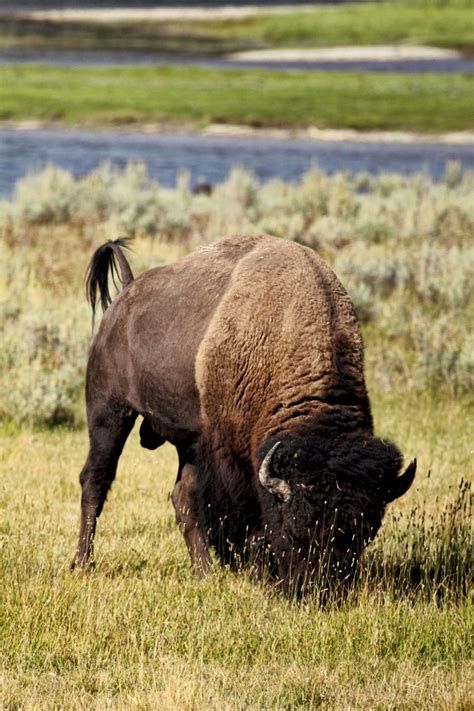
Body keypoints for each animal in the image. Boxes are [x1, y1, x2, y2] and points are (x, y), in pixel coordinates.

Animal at [72, 235, 416, 596]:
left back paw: (204, 573)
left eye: (363, 535)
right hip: (109, 413)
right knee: (95, 481)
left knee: (182, 498)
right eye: (295, 527)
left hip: (187, 442)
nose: (317, 590)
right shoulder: (230, 455)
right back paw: (82, 565)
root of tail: (126, 295)